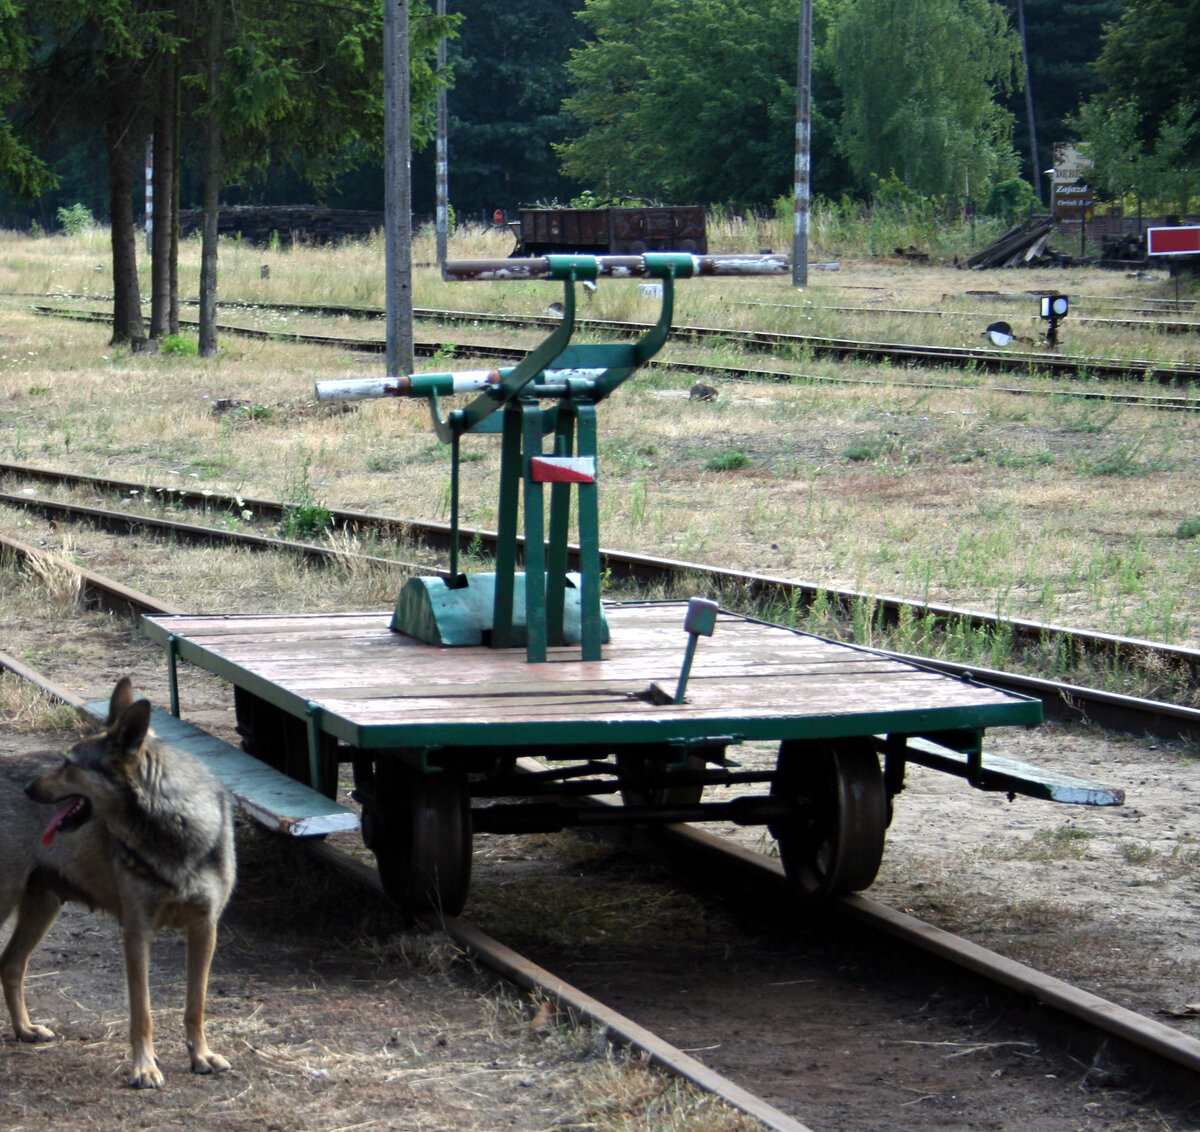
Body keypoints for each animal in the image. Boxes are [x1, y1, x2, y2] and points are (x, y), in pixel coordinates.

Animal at [0, 677, 234, 1094]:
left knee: (10, 964)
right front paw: (144, 1069)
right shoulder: (137, 932)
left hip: (43, 908)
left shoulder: (204, 928)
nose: (27, 787)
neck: (172, 831)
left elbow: (196, 1005)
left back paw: (25, 1029)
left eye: (68, 764)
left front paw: (201, 1057)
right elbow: (142, 1013)